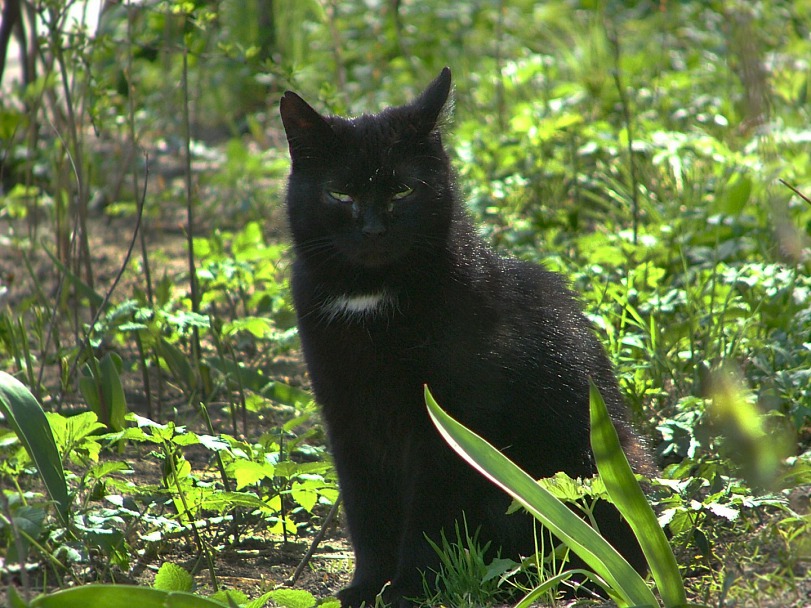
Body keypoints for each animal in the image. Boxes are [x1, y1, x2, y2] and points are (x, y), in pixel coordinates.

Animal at [280, 67, 652, 608]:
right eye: (340, 195)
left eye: (403, 191)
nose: (372, 230)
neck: (371, 298)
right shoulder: (346, 419)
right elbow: (366, 511)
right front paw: (366, 588)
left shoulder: (449, 422)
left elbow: (430, 518)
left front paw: (408, 590)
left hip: (594, 462)